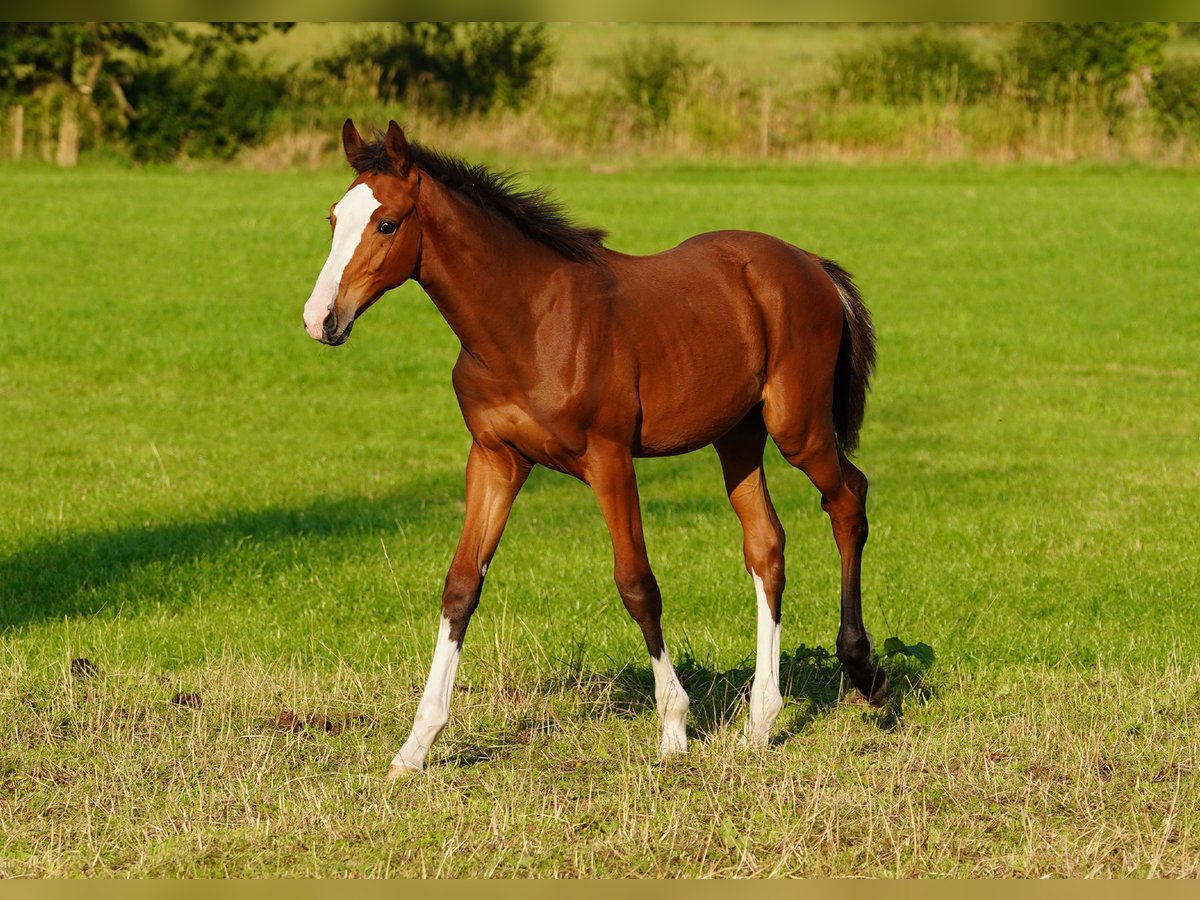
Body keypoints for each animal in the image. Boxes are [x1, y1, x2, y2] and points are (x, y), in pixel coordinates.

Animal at [302, 121, 883, 782]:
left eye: (386, 224)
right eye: (333, 218)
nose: (320, 318)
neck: (526, 323)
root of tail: (811, 264)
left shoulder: (609, 459)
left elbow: (637, 584)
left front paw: (674, 730)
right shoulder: (495, 458)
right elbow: (461, 586)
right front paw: (414, 749)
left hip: (796, 428)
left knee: (848, 499)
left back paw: (864, 671)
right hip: (737, 437)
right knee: (766, 545)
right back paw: (760, 723)